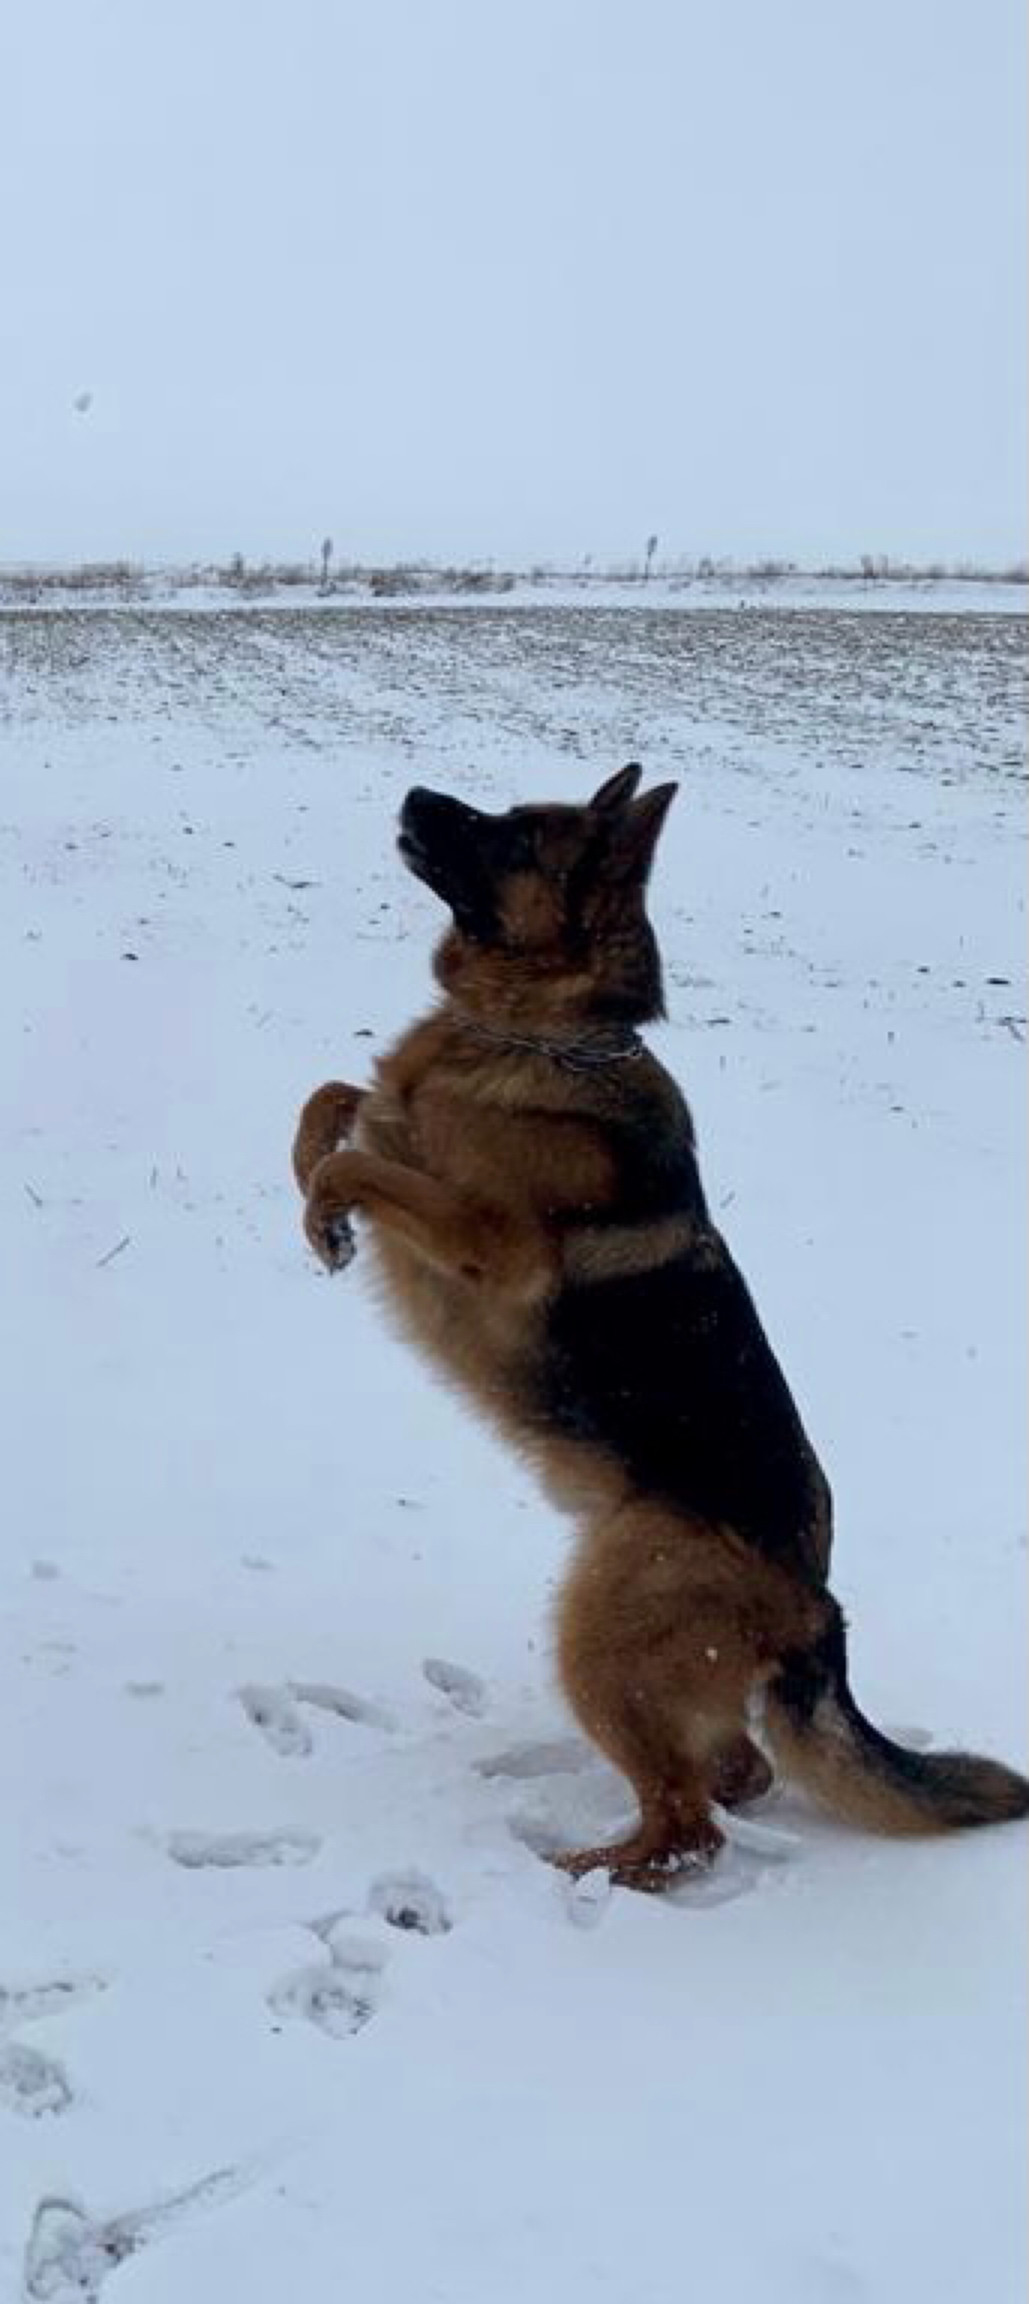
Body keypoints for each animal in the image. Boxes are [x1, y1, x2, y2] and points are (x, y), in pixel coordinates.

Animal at [292, 764, 1027, 1889]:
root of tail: (817, 1606)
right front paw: (311, 1205)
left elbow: (357, 1158)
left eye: (518, 838)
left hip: (596, 1637)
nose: (416, 791)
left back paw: (585, 1872)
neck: (546, 1033)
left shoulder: (488, 1240)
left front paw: (326, 1213)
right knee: (735, 1775)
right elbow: (333, 1100)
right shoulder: (394, 1127)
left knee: (690, 1825)